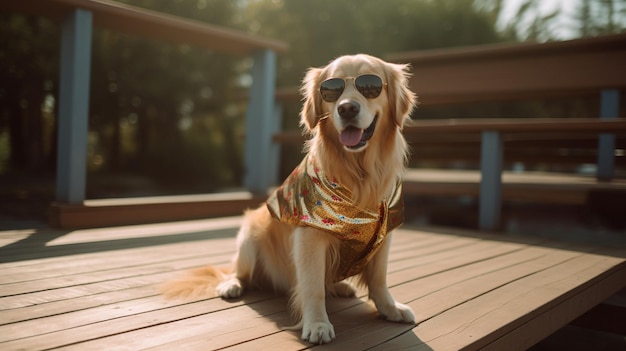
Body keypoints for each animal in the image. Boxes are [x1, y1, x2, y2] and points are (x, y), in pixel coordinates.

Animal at [162, 53, 414, 346]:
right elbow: (313, 286)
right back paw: (232, 284)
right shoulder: (309, 235)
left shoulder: (384, 232)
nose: (347, 109)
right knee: (239, 272)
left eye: (371, 85)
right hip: (250, 236)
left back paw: (340, 285)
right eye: (331, 90)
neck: (359, 173)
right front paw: (317, 324)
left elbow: (379, 279)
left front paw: (390, 308)